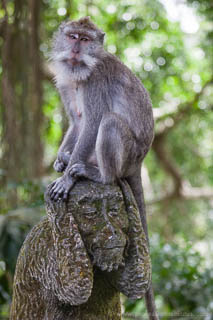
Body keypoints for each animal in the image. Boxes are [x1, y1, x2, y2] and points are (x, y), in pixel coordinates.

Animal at [48, 17, 158, 320]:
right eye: (73, 36)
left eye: (86, 40)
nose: (75, 49)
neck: (81, 72)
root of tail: (140, 160)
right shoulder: (65, 82)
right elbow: (77, 122)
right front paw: (61, 161)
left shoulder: (95, 82)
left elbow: (93, 121)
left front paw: (67, 178)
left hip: (128, 154)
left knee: (109, 122)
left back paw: (97, 173)